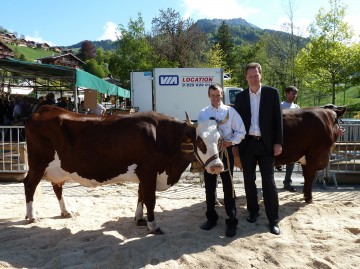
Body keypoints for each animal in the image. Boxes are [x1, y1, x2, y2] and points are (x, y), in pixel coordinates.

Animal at [23, 104, 228, 232]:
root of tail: (43, 110)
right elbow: (150, 199)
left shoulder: (144, 174)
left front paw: (139, 219)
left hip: (57, 168)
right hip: (38, 164)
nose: (217, 166)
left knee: (57, 186)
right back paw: (32, 216)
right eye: (199, 141)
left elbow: (141, 196)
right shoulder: (148, 171)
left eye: (219, 140)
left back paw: (65, 212)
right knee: (29, 185)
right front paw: (153, 226)